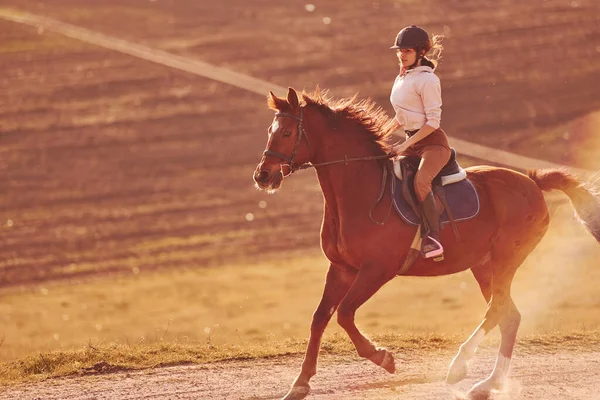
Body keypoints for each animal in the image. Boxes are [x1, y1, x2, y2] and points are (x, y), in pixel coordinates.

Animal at [251, 87, 596, 400]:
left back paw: (460, 368)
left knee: (497, 309)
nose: (263, 176)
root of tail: (532, 182)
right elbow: (320, 318)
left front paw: (384, 358)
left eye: (286, 132)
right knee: (508, 316)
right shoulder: (341, 269)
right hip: (484, 265)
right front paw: (300, 384)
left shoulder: (377, 270)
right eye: (269, 131)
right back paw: (488, 384)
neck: (360, 192)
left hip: (505, 259)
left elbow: (345, 314)